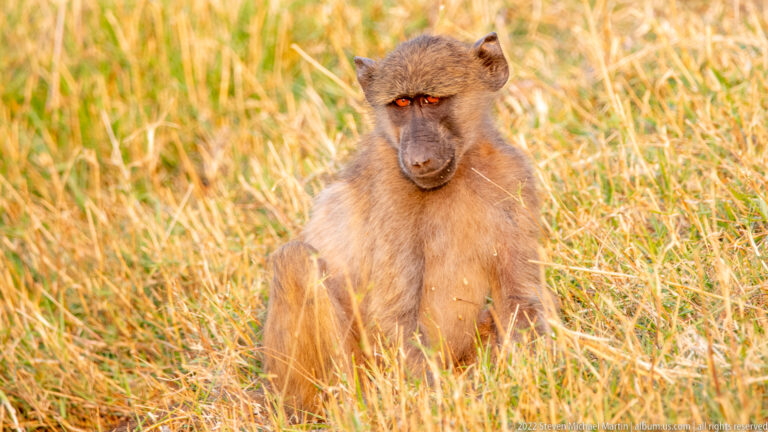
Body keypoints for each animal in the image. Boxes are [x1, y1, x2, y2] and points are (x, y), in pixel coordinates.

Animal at [262, 32, 556, 413]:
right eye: (401, 103)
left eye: (430, 99)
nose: (418, 159)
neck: (458, 172)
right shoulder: (390, 189)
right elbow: (394, 313)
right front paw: (438, 406)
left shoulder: (514, 174)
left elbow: (521, 296)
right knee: (294, 258)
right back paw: (352, 407)